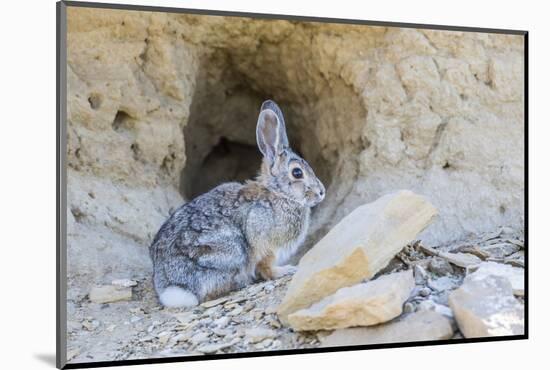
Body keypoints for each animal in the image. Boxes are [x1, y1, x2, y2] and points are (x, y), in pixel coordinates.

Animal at [149, 99, 326, 308]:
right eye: (297, 173)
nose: (322, 192)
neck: (278, 193)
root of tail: (173, 286)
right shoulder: (264, 242)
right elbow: (266, 266)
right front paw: (285, 270)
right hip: (230, 250)